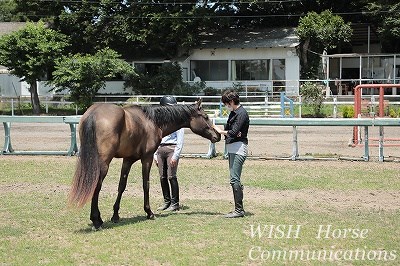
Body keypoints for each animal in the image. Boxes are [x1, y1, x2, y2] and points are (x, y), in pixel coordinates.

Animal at [67, 100, 220, 229]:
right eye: (205, 116)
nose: (218, 135)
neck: (152, 121)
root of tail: (93, 113)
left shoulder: (127, 160)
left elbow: (121, 186)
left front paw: (115, 215)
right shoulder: (147, 158)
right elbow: (146, 185)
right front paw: (149, 212)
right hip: (103, 164)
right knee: (96, 186)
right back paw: (96, 220)